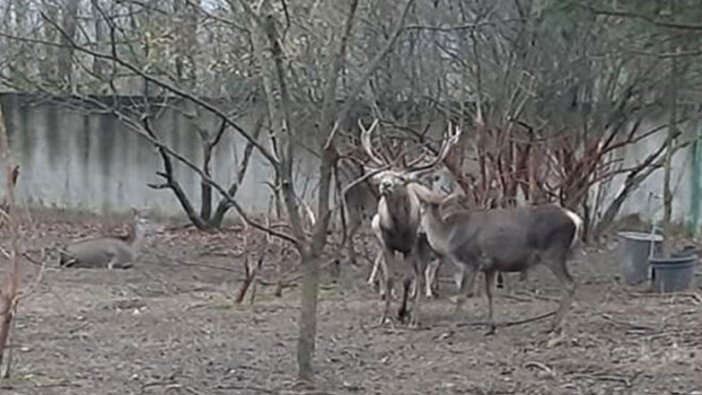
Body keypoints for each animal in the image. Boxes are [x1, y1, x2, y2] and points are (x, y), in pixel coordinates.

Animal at [358, 118, 462, 328]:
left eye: (400, 178)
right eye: (383, 176)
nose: (385, 185)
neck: (399, 229)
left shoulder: (412, 245)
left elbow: (407, 279)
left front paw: (403, 312)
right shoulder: (387, 244)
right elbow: (390, 278)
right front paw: (385, 316)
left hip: (426, 244)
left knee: (420, 274)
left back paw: (416, 314)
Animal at [408, 182, 584, 334]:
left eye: (420, 211)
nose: (418, 231)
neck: (449, 237)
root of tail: (576, 219)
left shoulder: (471, 261)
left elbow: (462, 296)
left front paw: (449, 330)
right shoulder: (490, 266)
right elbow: (490, 293)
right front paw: (491, 326)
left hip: (553, 253)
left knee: (570, 284)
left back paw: (555, 325)